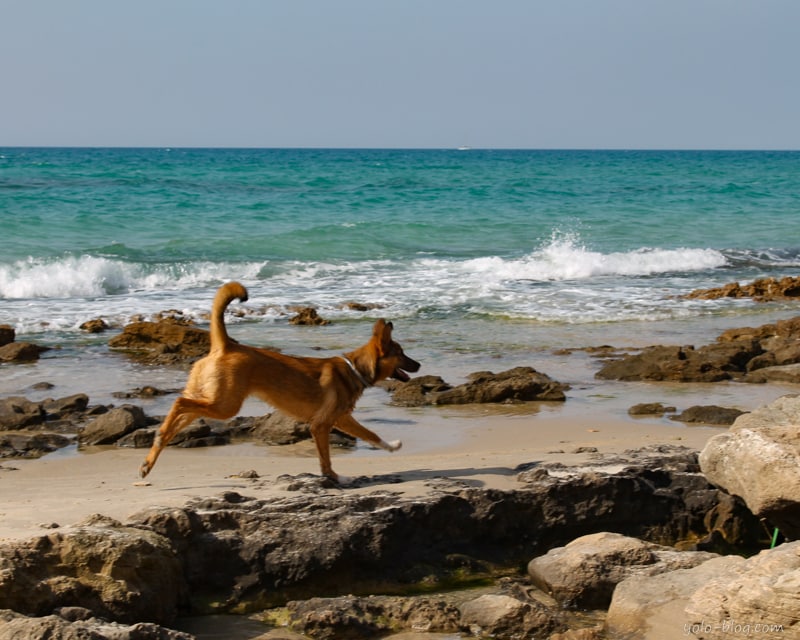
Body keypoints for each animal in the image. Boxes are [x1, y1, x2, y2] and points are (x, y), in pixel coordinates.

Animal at [141, 282, 422, 482]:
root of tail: (226, 345)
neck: (355, 369)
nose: (419, 365)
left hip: (210, 397)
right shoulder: (323, 424)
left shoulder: (341, 419)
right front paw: (335, 477)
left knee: (178, 416)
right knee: (179, 402)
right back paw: (159, 438)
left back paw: (151, 455)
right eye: (401, 353)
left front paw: (390, 446)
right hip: (225, 405)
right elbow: (328, 456)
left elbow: (370, 435)